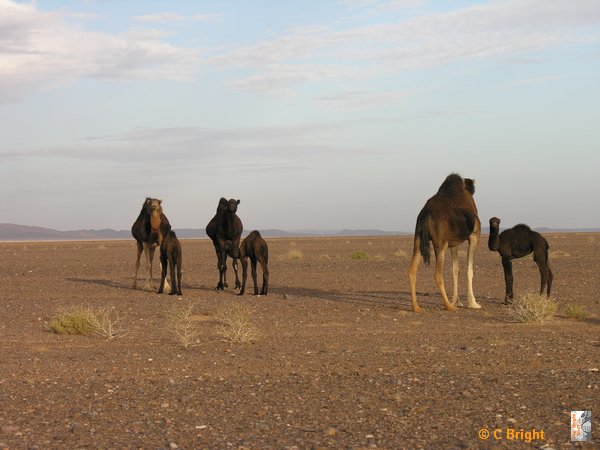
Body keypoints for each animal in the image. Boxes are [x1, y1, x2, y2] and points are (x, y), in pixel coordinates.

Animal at [406, 173, 480, 312]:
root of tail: (424, 215)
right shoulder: (474, 235)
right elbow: (470, 269)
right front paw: (473, 303)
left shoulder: (453, 243)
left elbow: (456, 269)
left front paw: (457, 301)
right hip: (440, 243)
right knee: (438, 274)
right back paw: (449, 306)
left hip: (418, 240)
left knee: (412, 270)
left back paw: (416, 307)